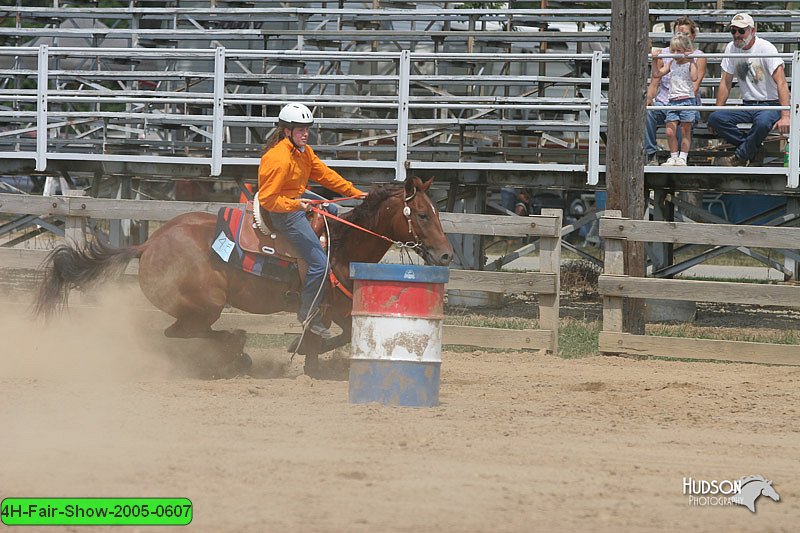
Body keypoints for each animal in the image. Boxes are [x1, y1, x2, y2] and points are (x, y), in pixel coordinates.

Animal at [34, 177, 454, 376]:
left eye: (436, 211)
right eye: (421, 214)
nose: (446, 254)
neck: (343, 245)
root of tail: (148, 244)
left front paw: (307, 356)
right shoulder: (334, 309)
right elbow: (338, 336)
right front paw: (300, 348)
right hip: (206, 304)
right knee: (183, 333)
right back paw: (237, 353)